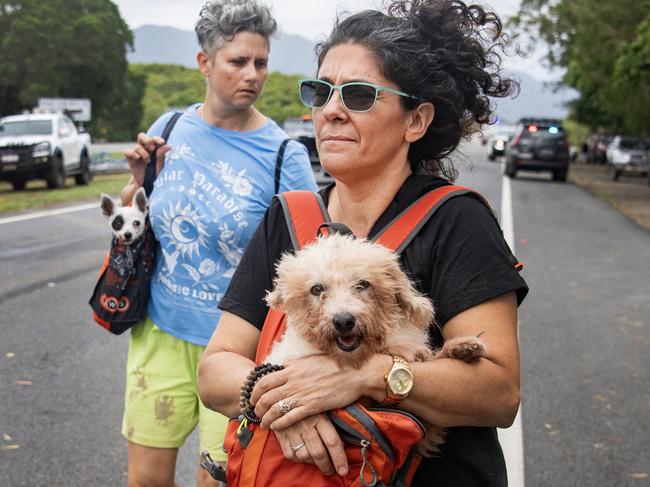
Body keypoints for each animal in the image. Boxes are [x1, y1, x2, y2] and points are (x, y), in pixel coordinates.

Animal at [262, 233, 480, 454]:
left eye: (363, 284)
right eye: (317, 289)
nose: (344, 321)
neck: (353, 357)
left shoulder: (424, 430)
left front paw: (460, 348)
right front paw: (411, 350)